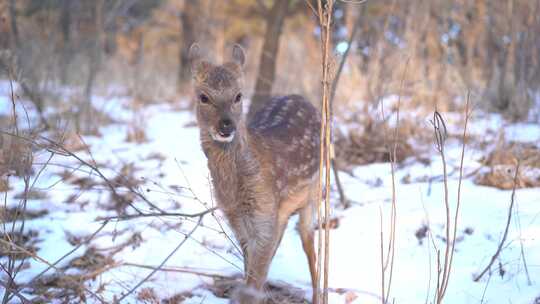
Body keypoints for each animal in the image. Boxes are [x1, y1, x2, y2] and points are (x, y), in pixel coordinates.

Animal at [189, 43, 320, 304]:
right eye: (203, 97)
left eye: (238, 95)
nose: (226, 124)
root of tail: (299, 96)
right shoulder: (237, 220)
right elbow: (251, 271)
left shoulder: (264, 215)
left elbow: (253, 283)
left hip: (316, 190)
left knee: (309, 243)